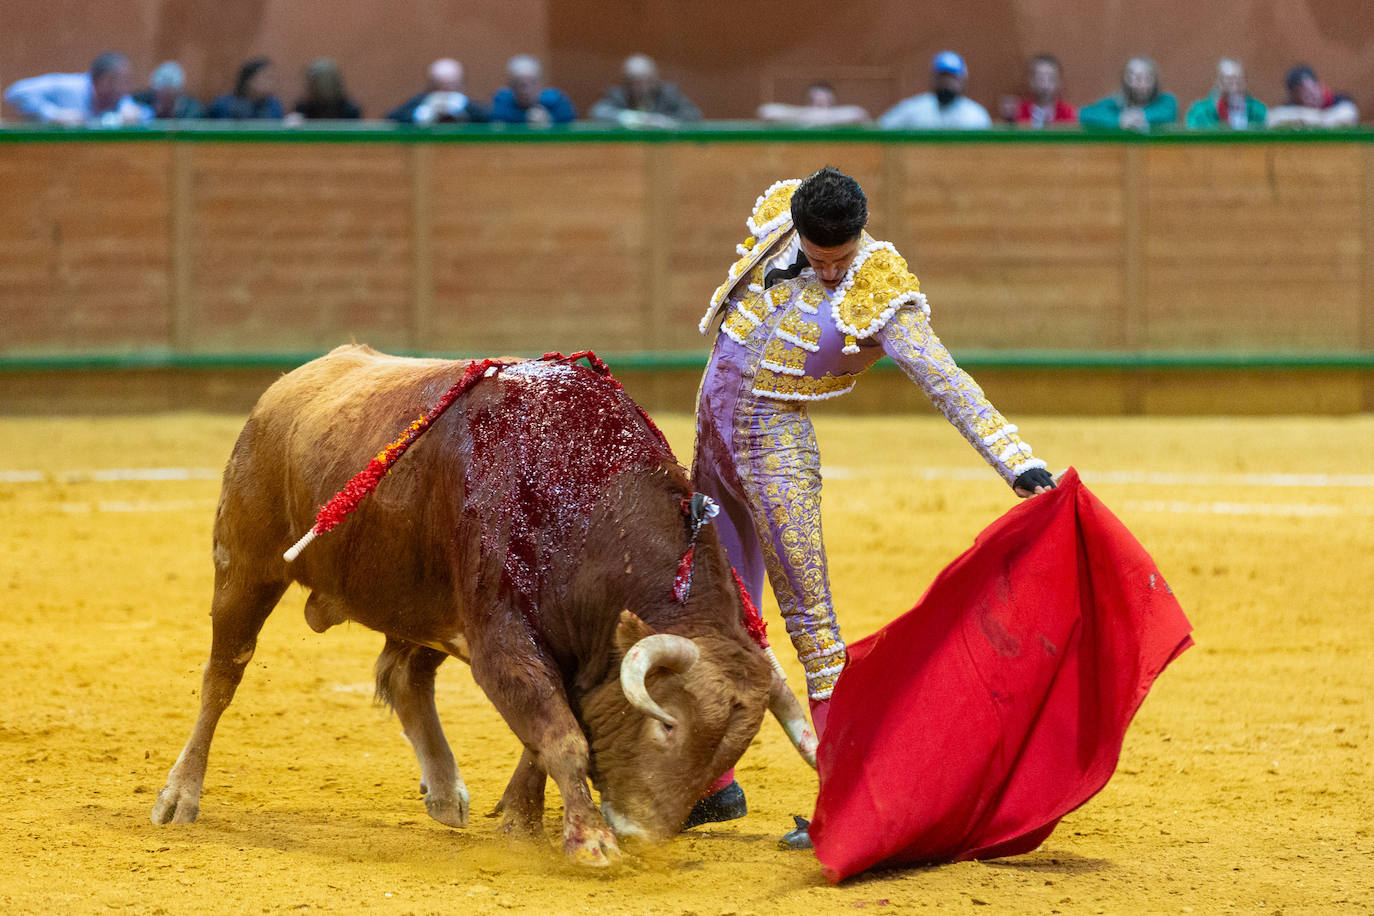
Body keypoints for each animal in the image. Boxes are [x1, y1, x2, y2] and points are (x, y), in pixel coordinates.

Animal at [150, 346, 813, 867]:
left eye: (731, 751)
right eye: (666, 724)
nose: (642, 835)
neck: (582, 491)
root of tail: (284, 389)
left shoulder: (562, 647)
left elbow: (549, 734)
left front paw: (521, 822)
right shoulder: (501, 634)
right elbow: (560, 732)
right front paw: (591, 843)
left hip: (425, 604)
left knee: (405, 677)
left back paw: (446, 793)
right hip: (246, 567)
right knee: (223, 674)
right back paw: (179, 796)